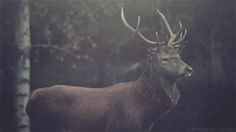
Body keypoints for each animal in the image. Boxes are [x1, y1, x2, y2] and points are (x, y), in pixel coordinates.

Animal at [26, 7, 192, 132]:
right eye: (164, 58)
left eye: (178, 55)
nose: (188, 69)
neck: (145, 114)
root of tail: (30, 100)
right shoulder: (119, 126)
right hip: (43, 125)